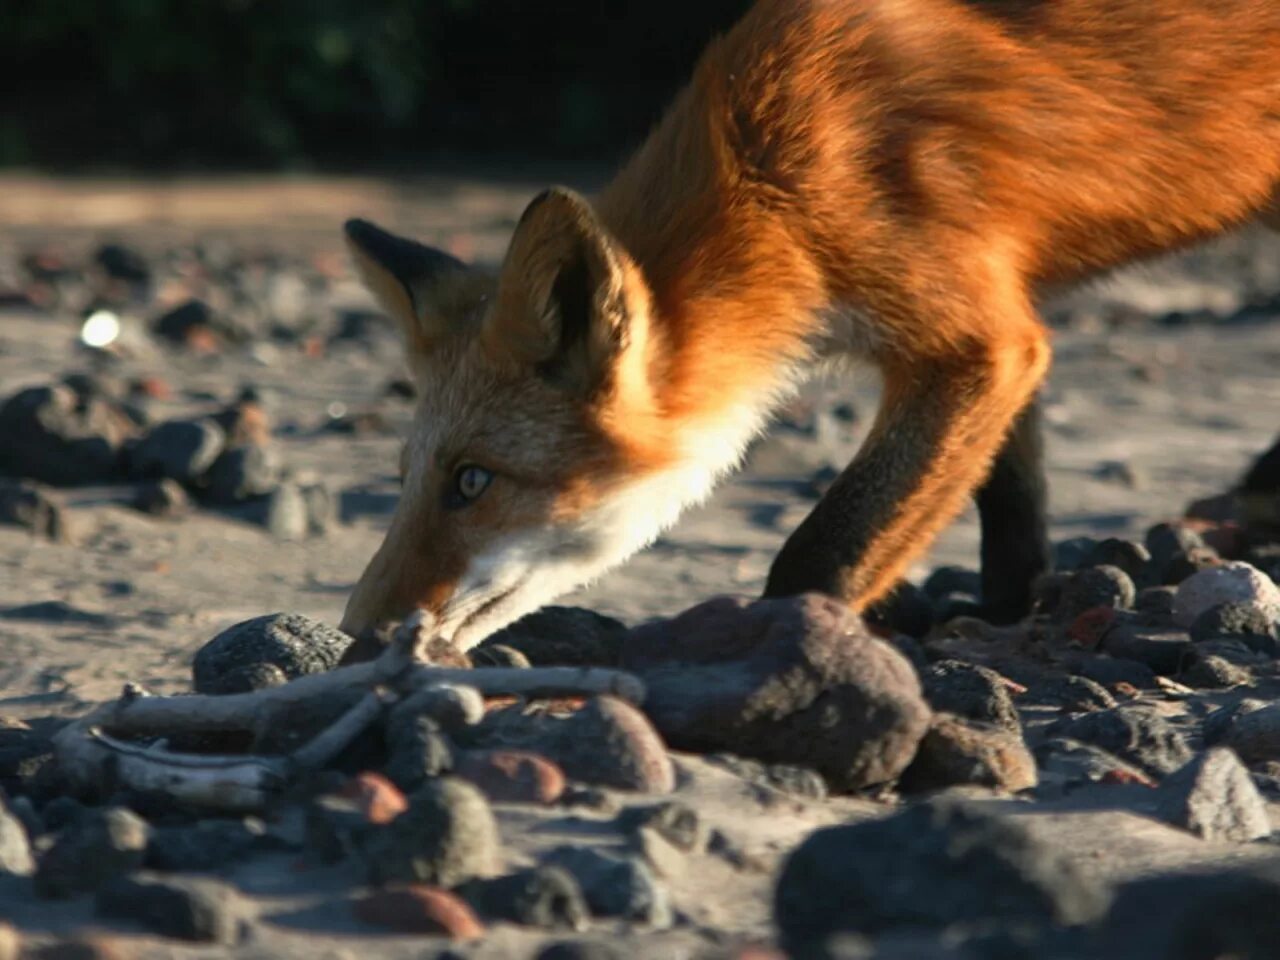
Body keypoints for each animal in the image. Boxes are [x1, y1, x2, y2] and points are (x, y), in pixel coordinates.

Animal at [337, 0, 1280, 660]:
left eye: (471, 481)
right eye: (405, 477)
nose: (355, 637)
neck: (769, 172)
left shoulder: (975, 337)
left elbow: (823, 549)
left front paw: (789, 654)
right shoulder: (1000, 320)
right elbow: (1014, 492)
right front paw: (1010, 604)